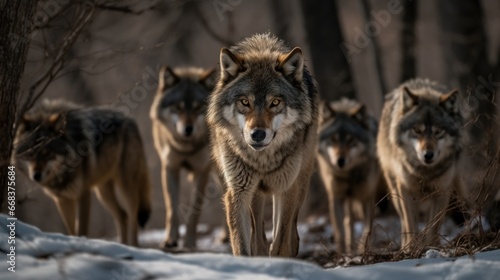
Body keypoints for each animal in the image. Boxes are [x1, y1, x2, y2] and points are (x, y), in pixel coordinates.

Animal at [15, 99, 152, 246]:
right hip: (103, 193)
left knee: (133, 216)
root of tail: (130, 119)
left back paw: (134, 246)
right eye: (30, 153)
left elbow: (81, 229)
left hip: (126, 188)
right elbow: (71, 230)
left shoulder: (83, 194)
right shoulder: (62, 199)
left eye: (47, 153)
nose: (36, 176)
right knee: (123, 216)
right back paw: (122, 245)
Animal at [150, 65, 217, 249]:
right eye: (178, 108)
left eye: (197, 108)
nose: (188, 129)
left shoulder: (201, 171)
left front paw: (189, 244)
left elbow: (194, 211)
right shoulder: (170, 168)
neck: (186, 148)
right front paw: (170, 240)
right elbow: (172, 208)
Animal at [207, 32, 320, 256]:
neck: (262, 160)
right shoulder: (237, 192)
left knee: (290, 231)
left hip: (300, 183)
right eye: (245, 102)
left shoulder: (286, 188)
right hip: (255, 193)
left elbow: (280, 242)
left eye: (275, 102)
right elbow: (242, 244)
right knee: (258, 236)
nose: (258, 134)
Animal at [320, 97, 378, 255]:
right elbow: (340, 231)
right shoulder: (336, 197)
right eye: (333, 139)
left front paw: (361, 251)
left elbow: (367, 230)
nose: (340, 161)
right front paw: (342, 254)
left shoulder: (367, 197)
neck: (349, 174)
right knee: (348, 222)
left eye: (351, 140)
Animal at [378, 78, 464, 252]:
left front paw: (431, 247)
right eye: (417, 130)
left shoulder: (442, 191)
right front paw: (411, 249)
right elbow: (410, 224)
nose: (428, 155)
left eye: (438, 131)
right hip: (395, 192)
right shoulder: (406, 191)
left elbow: (434, 226)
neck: (425, 172)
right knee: (404, 221)